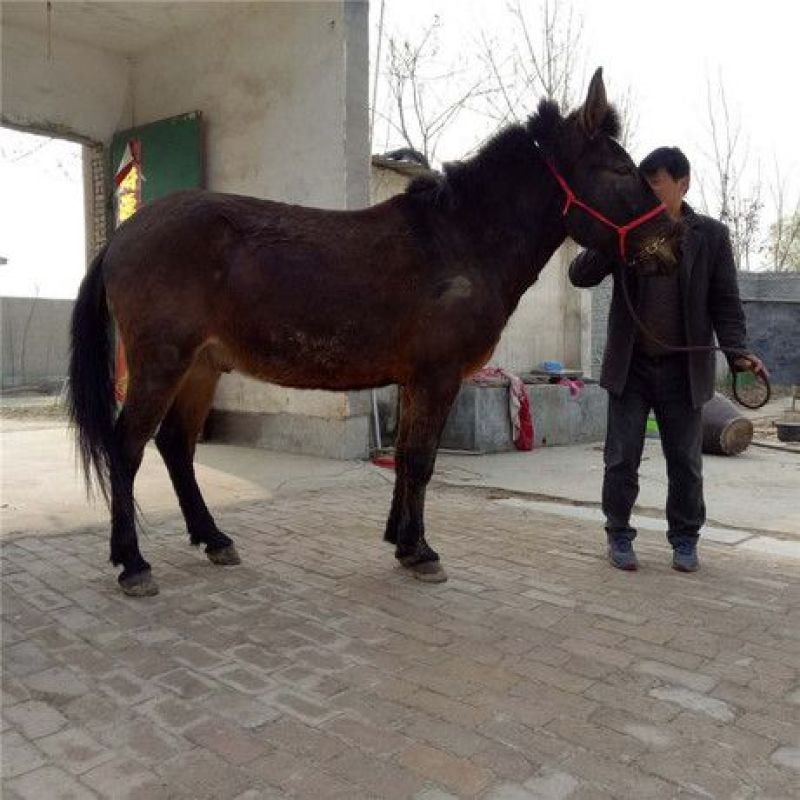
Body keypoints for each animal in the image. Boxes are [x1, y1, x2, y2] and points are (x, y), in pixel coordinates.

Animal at [68, 69, 680, 596]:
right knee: (128, 448)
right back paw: (133, 563)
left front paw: (403, 544)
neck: (459, 241)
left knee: (175, 445)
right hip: (162, 362)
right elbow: (423, 460)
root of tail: (123, 236)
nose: (672, 245)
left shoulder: (414, 381)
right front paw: (422, 552)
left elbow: (409, 458)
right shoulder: (437, 376)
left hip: (201, 365)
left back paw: (214, 538)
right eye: (619, 170)